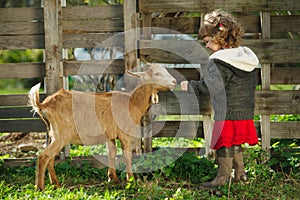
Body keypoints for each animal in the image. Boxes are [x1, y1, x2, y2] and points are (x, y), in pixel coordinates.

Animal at [27, 64, 177, 191]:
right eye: (157, 73)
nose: (174, 81)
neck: (132, 103)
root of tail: (44, 105)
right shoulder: (124, 134)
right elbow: (127, 155)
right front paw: (131, 180)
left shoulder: (109, 135)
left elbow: (111, 153)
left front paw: (112, 178)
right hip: (61, 135)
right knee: (44, 156)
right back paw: (40, 187)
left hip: (53, 134)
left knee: (51, 157)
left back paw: (56, 184)